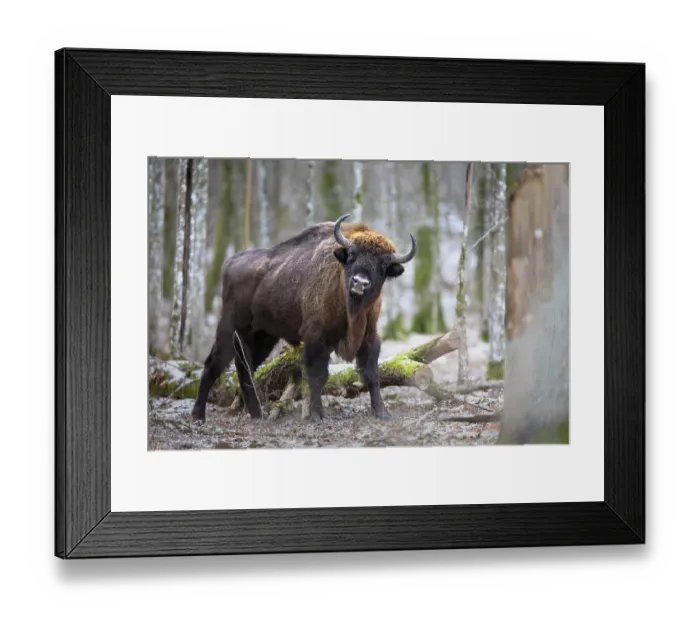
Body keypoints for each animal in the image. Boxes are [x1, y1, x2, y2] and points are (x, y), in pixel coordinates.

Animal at [191, 214, 417, 424]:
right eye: (352, 254)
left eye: (383, 264)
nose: (359, 283)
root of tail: (230, 262)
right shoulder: (316, 338)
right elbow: (318, 375)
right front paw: (316, 415)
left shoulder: (370, 337)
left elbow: (372, 375)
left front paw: (383, 413)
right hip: (230, 328)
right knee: (214, 364)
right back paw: (198, 416)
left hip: (263, 335)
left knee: (245, 366)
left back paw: (256, 414)